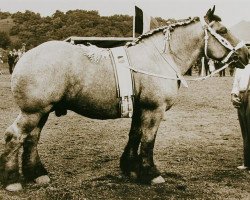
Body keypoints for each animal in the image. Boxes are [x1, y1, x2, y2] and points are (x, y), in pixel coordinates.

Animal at [0, 6, 249, 191]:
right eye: (223, 30)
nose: (246, 54)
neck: (160, 57)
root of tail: (25, 56)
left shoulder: (140, 108)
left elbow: (135, 135)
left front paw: (131, 168)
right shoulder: (154, 109)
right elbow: (148, 140)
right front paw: (151, 174)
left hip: (42, 111)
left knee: (31, 139)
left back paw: (37, 174)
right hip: (33, 111)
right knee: (15, 137)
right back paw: (12, 181)